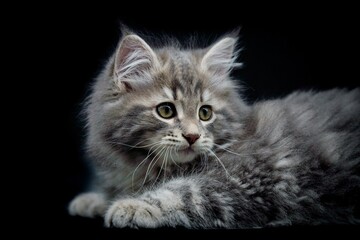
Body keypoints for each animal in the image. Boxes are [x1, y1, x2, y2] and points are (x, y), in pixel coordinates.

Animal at [68, 29, 360, 228]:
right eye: (166, 111)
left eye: (205, 113)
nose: (192, 136)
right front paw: (95, 199)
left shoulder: (248, 176)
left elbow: (184, 192)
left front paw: (130, 205)